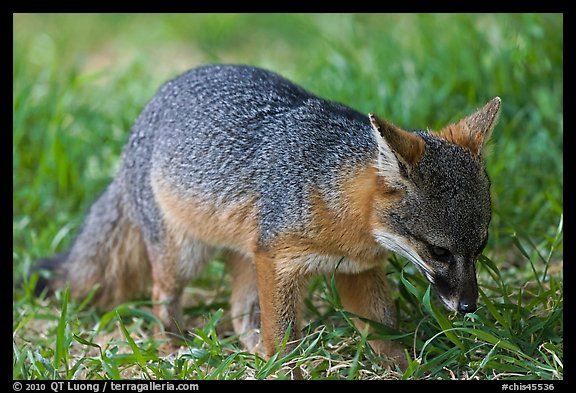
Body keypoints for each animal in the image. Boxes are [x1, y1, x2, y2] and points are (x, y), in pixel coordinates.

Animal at [33, 64, 500, 376]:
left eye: (480, 248)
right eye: (438, 251)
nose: (468, 307)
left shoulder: (358, 271)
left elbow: (383, 333)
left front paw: (403, 369)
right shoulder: (278, 261)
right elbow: (283, 337)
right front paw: (284, 369)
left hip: (244, 256)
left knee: (240, 315)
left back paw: (244, 353)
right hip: (185, 257)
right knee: (161, 296)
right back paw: (174, 348)